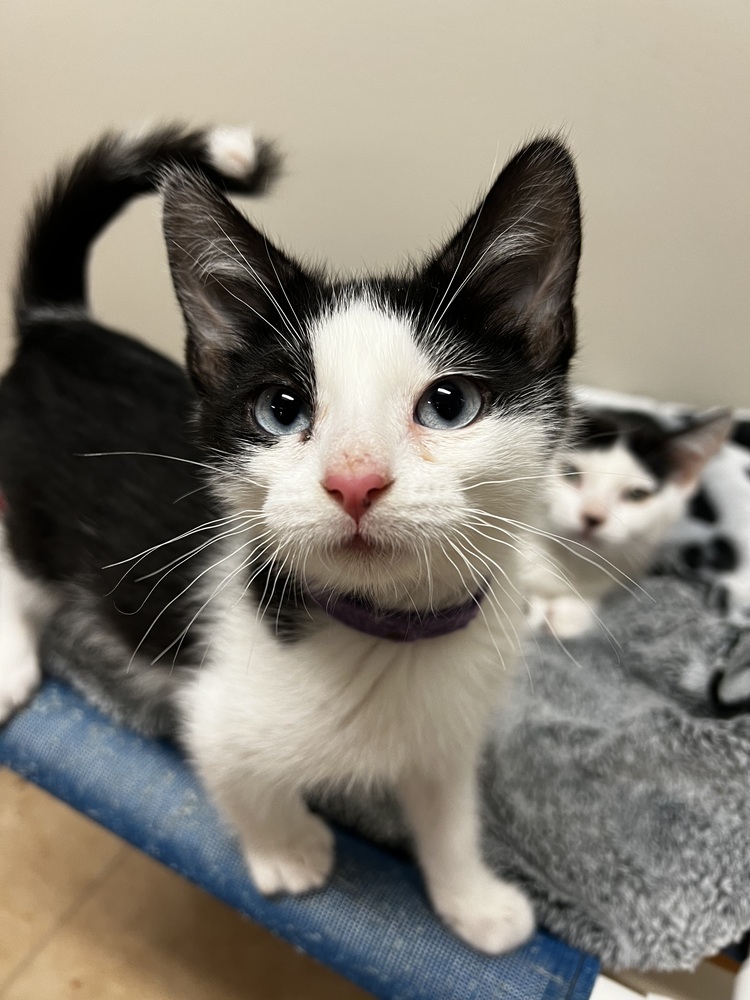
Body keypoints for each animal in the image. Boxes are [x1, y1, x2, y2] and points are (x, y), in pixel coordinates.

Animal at [0, 125, 584, 952]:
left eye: (449, 404)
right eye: (281, 409)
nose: (354, 481)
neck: (390, 632)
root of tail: (60, 324)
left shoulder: (449, 725)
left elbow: (448, 808)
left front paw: (472, 898)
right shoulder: (216, 704)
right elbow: (235, 771)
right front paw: (290, 847)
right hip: (33, 505)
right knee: (18, 567)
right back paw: (12, 658)